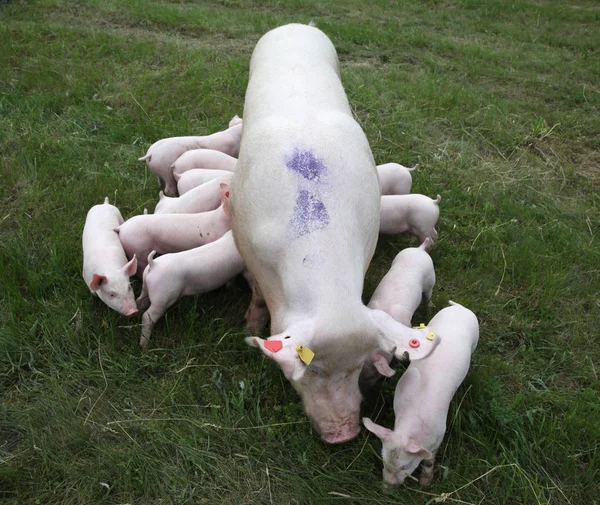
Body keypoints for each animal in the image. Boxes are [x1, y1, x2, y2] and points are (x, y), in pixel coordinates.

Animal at [230, 23, 440, 442]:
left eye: (357, 366)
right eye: (310, 369)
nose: (343, 434)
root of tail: (296, 25)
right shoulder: (246, 243)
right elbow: (257, 298)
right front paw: (250, 326)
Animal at [366, 302, 478, 486]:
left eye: (406, 466)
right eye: (384, 460)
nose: (386, 487)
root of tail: (459, 307)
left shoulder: (440, 433)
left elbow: (429, 460)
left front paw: (425, 484)